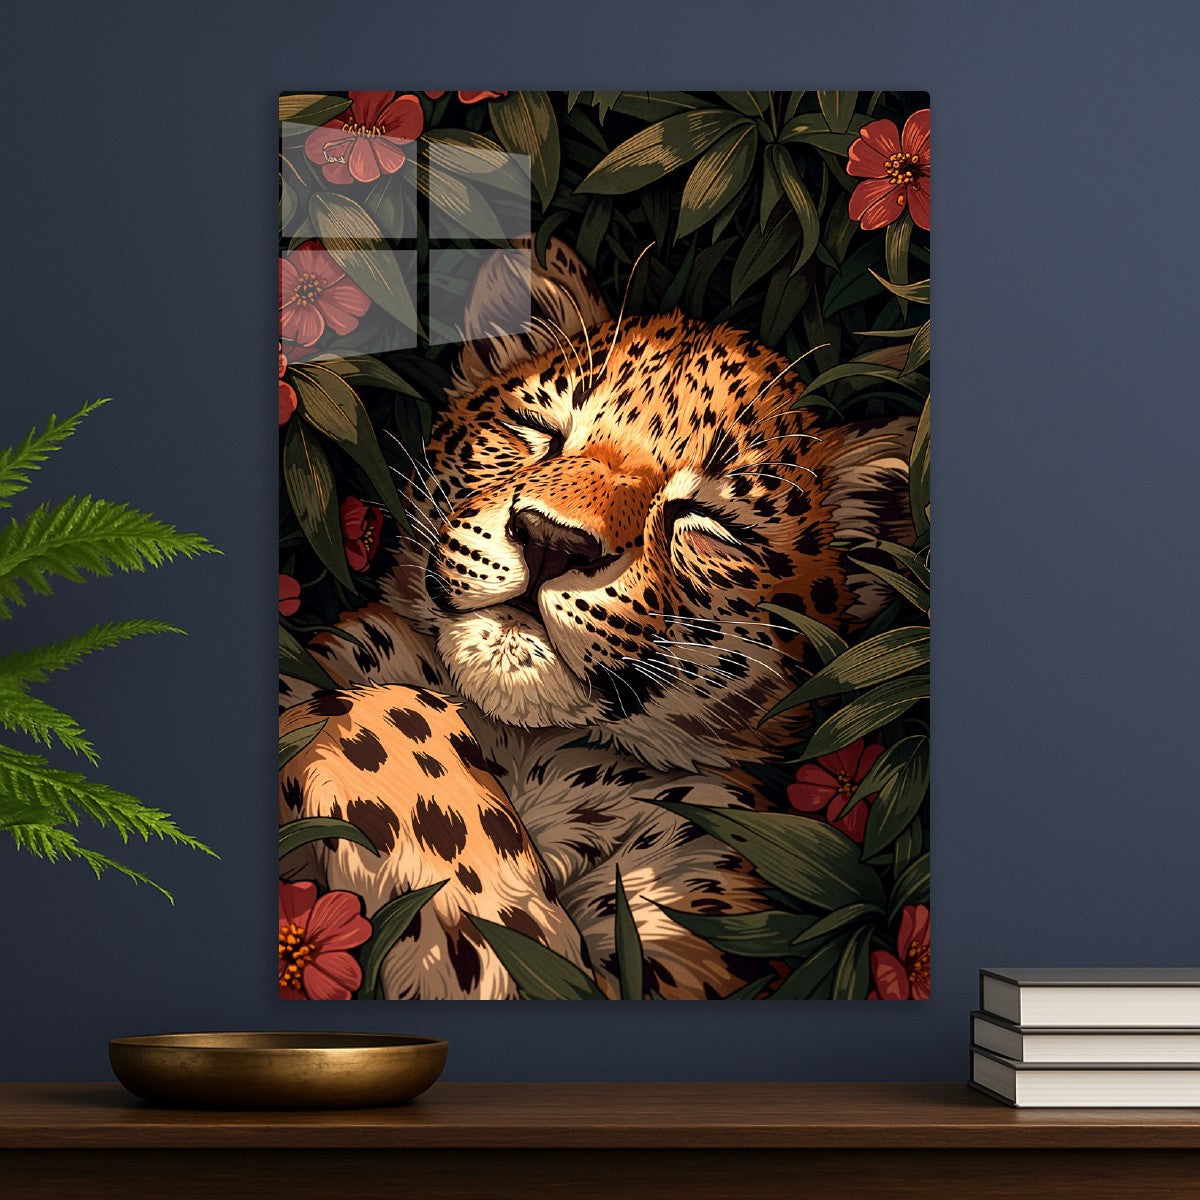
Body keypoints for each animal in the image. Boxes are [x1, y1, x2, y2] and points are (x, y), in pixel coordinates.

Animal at [279, 236, 917, 1000]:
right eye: (538, 431)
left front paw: (478, 930)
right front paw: (468, 908)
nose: (553, 541)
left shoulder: (688, 947)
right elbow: (378, 705)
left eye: (710, 522)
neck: (518, 744)